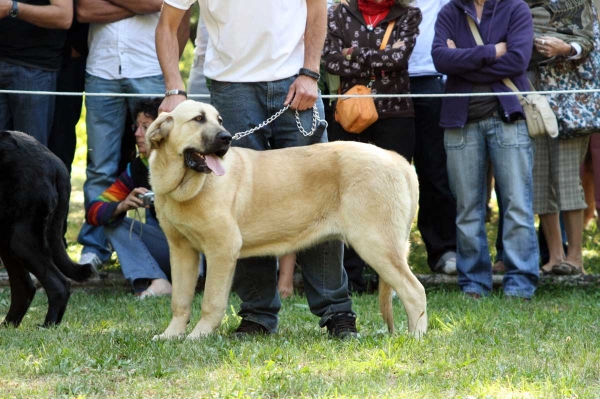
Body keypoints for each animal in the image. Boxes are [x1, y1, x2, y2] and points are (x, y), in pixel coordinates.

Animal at [0, 131, 95, 328]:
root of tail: (54, 162)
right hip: (7, 239)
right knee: (25, 287)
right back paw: (9, 325)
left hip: (19, 239)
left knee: (59, 284)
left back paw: (47, 326)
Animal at [145, 100, 426, 340]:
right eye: (199, 119)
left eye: (219, 120)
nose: (226, 138)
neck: (186, 186)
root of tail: (396, 159)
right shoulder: (181, 250)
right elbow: (180, 301)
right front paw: (171, 335)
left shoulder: (222, 249)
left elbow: (210, 302)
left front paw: (198, 336)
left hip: (376, 244)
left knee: (415, 291)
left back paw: (416, 337)